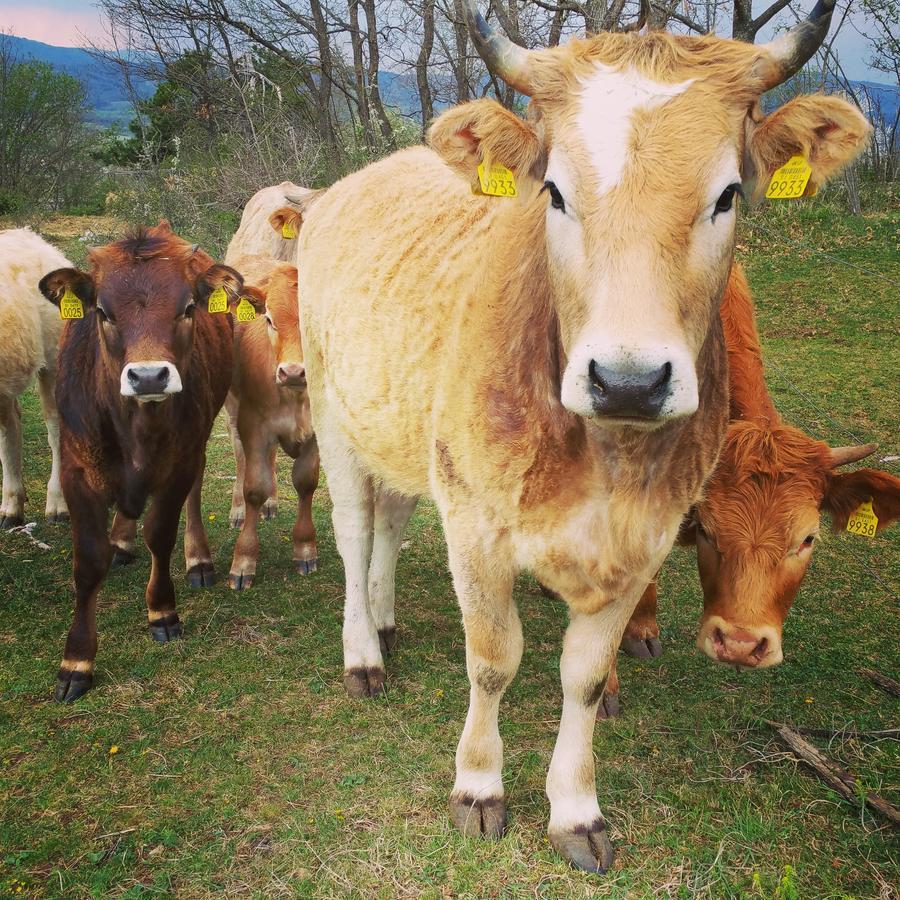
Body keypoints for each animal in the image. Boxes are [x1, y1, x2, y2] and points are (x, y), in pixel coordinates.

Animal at [39, 221, 243, 700]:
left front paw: (162, 611)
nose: (148, 376)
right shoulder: (76, 472)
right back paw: (120, 540)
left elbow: (160, 534)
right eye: (102, 311)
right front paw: (76, 660)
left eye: (188, 307)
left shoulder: (180, 462)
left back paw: (198, 558)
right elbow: (88, 560)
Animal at [298, 0, 868, 872]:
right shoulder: (476, 526)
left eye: (729, 194)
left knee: (391, 520)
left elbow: (586, 677)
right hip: (332, 408)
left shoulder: (644, 537)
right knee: (355, 529)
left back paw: (387, 620)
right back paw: (363, 650)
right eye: (555, 193)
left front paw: (574, 808)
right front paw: (478, 787)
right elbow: (492, 660)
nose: (628, 380)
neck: (607, 459)